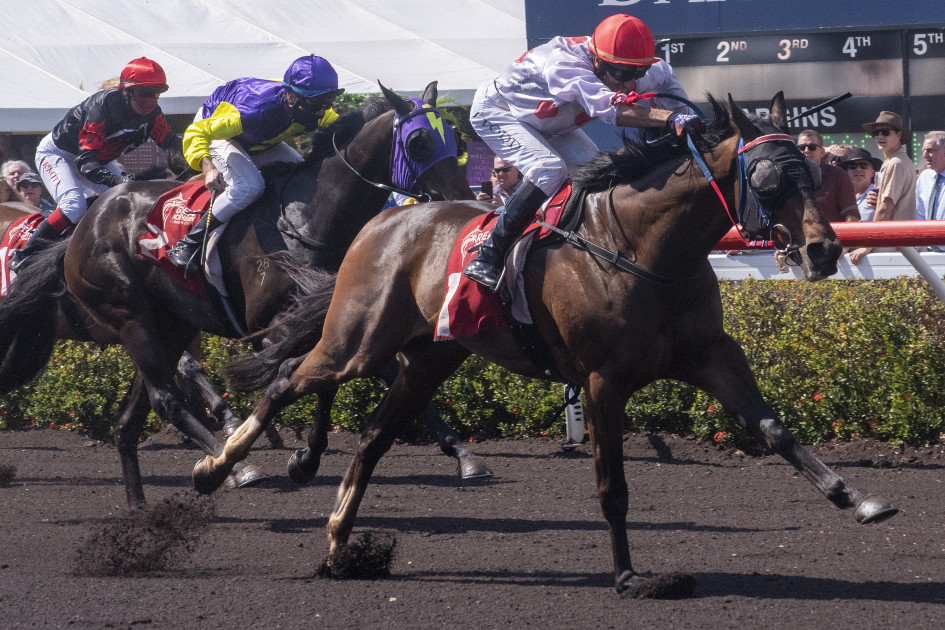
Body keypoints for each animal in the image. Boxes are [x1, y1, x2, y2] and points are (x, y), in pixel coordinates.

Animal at [195, 91, 896, 596]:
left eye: (813, 172)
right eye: (771, 178)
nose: (824, 250)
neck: (643, 248)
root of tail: (385, 217)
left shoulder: (711, 354)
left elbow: (774, 428)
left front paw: (856, 498)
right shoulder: (603, 379)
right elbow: (612, 485)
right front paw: (629, 576)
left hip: (430, 357)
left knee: (370, 439)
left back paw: (341, 542)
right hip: (359, 341)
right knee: (289, 379)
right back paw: (218, 468)